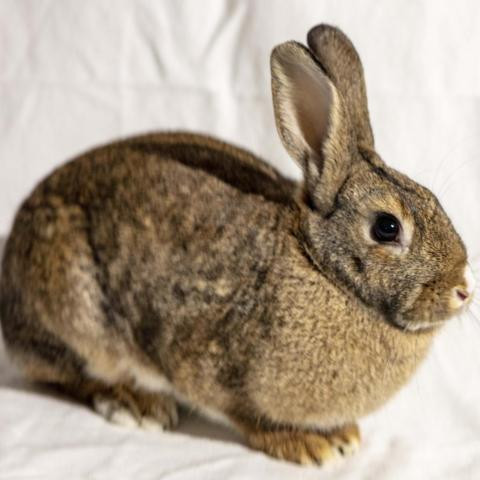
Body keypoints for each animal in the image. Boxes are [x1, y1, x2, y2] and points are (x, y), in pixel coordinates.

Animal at [0, 23, 474, 464]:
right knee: (70, 372)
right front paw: (309, 445)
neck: (320, 267)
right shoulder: (205, 363)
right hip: (73, 307)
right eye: (387, 228)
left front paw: (343, 436)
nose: (463, 289)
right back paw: (136, 404)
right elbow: (247, 415)